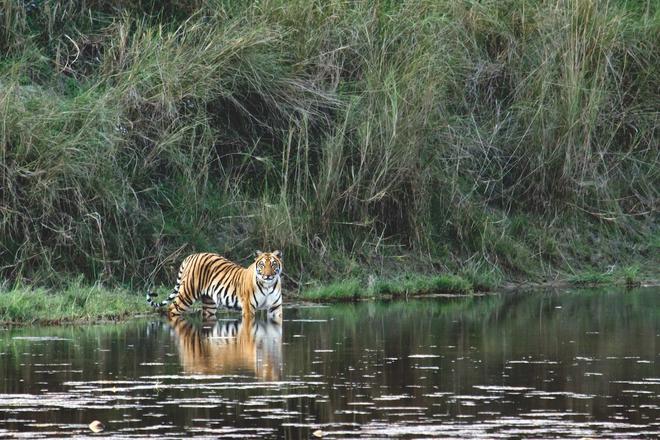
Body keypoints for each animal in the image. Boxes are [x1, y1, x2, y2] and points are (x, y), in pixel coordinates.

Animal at [147, 251, 284, 324]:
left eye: (273, 264)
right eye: (262, 265)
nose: (268, 275)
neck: (268, 285)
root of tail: (191, 256)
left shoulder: (275, 308)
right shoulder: (248, 308)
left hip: (209, 303)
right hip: (187, 294)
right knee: (171, 309)